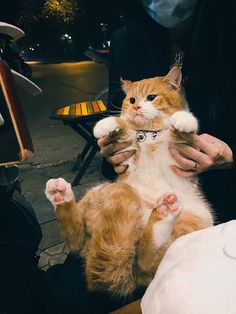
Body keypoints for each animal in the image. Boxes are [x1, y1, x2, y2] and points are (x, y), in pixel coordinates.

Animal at [45, 65, 213, 296]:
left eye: (151, 97)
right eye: (132, 100)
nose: (136, 107)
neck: (150, 135)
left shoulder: (179, 153)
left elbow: (182, 130)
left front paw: (182, 120)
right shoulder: (129, 153)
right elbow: (123, 125)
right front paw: (105, 125)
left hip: (196, 219)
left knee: (147, 260)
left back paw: (163, 214)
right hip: (99, 191)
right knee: (76, 240)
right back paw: (59, 194)